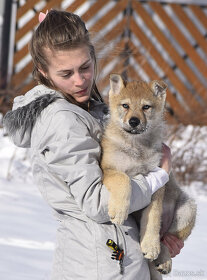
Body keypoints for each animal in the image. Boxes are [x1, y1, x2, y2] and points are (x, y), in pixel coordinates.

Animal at [101, 74, 196, 280]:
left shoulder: (157, 182)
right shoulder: (109, 168)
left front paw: (150, 246)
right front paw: (119, 211)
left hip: (187, 208)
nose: (134, 121)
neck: (136, 147)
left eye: (146, 107)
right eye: (125, 105)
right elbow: (124, 180)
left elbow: (152, 218)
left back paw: (163, 259)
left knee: (167, 240)